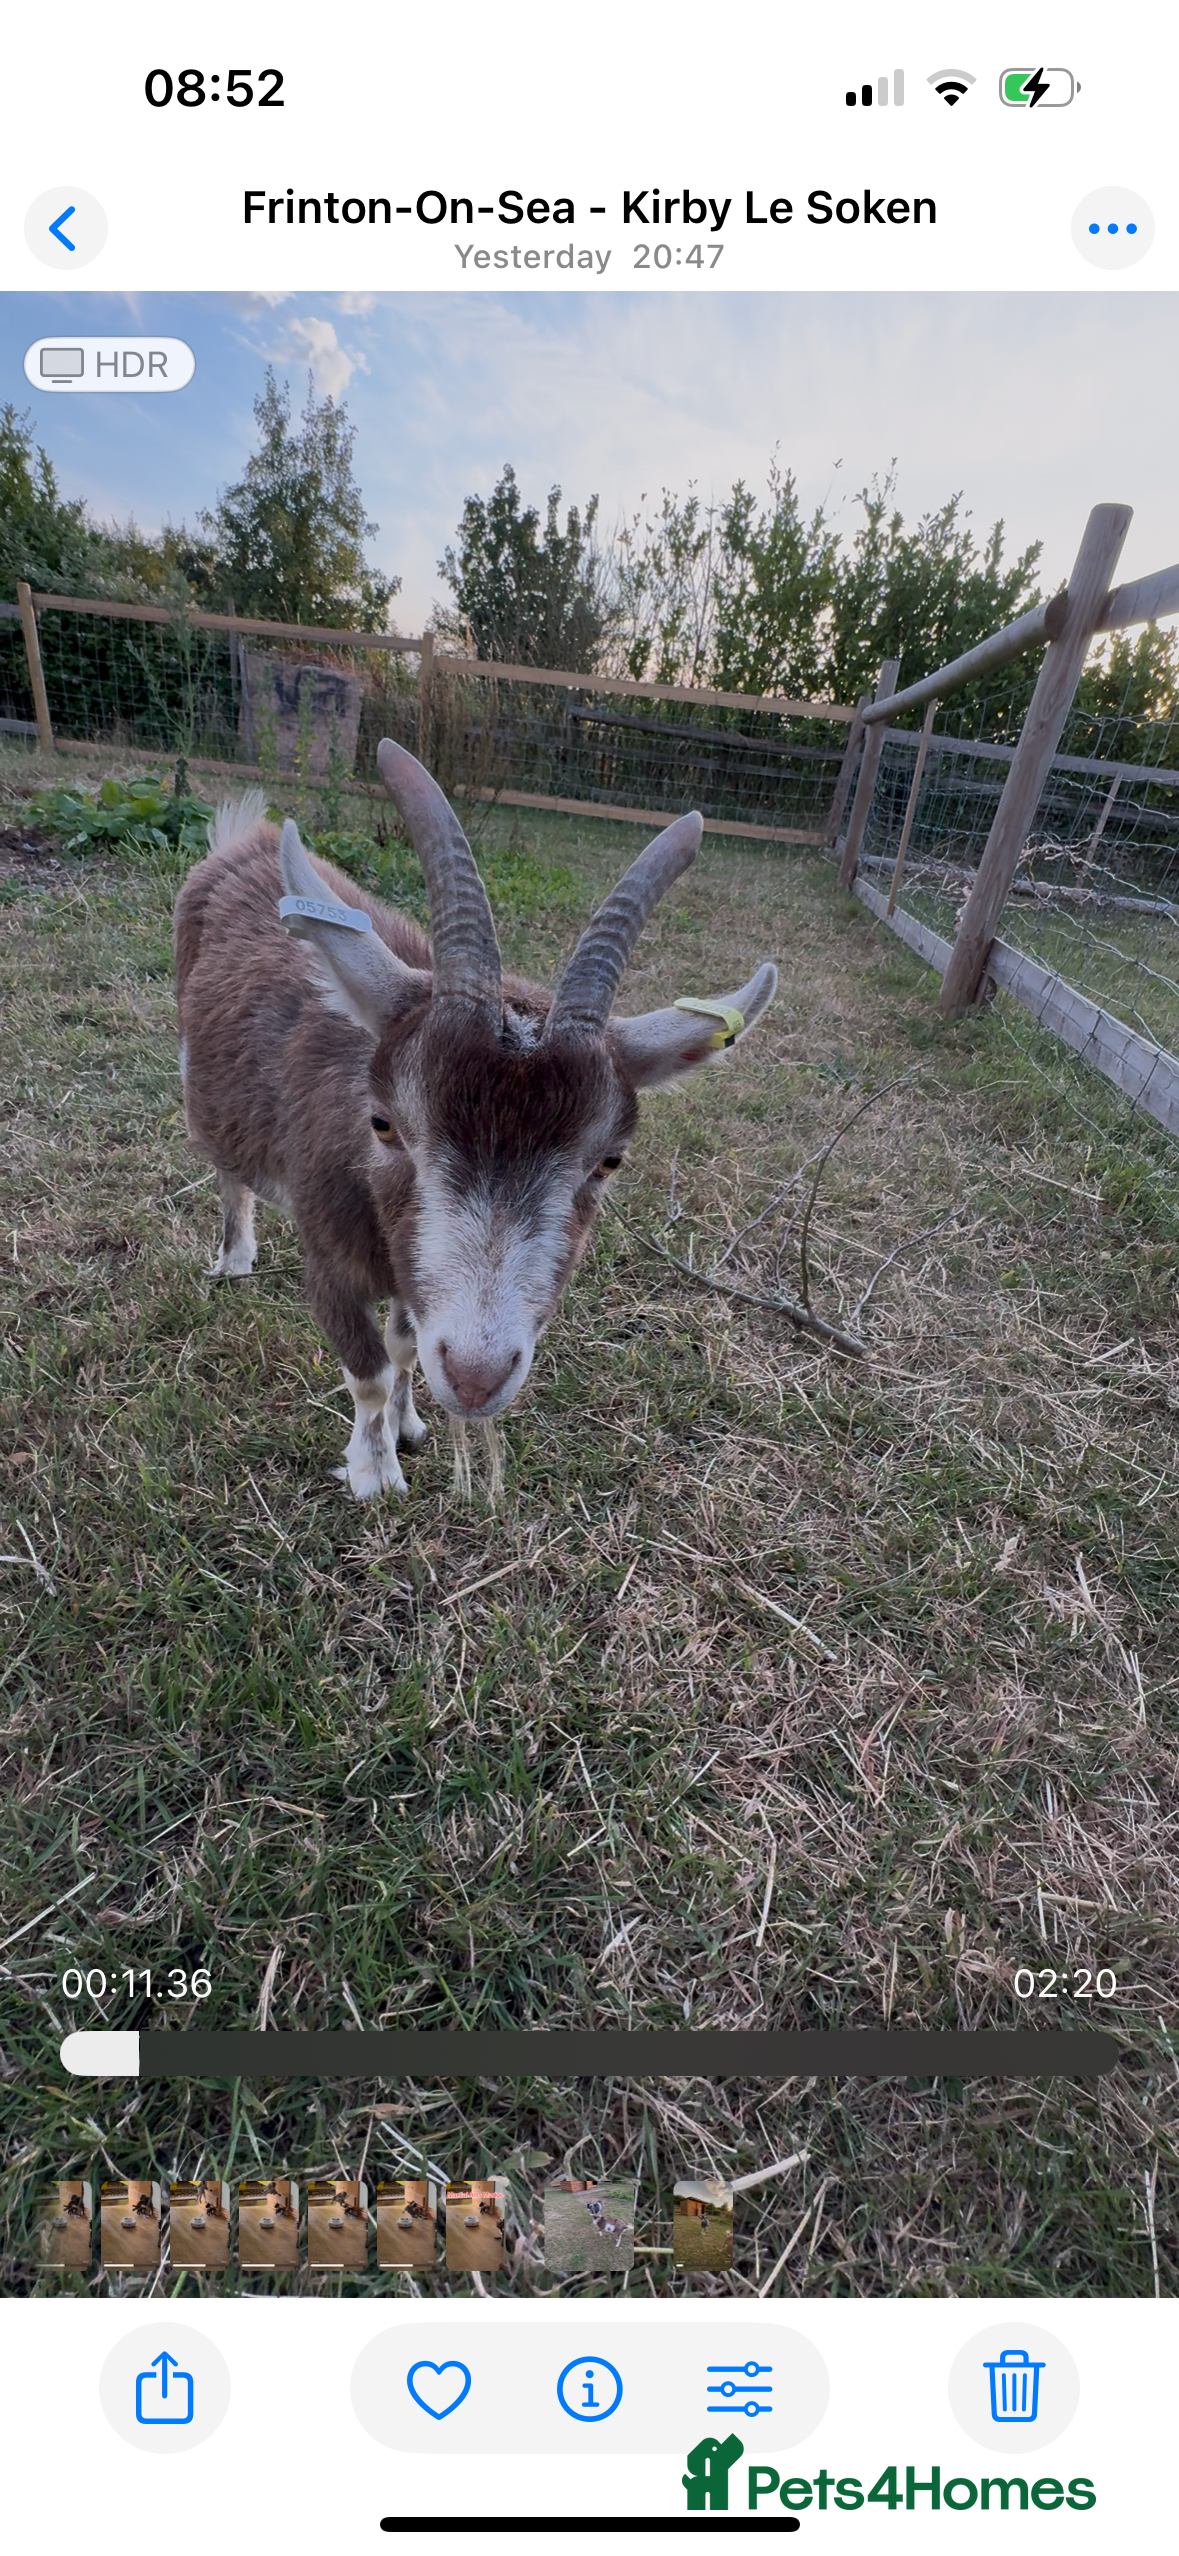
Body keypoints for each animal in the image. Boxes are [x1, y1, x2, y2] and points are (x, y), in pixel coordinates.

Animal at [174, 741, 777, 1498]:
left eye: (609, 1160)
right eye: (383, 1124)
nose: (474, 1378)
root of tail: (243, 841)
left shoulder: (415, 1284)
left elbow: (404, 1349)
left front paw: (407, 1427)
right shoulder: (329, 1259)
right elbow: (369, 1371)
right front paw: (374, 1473)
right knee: (228, 1172)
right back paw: (234, 1259)